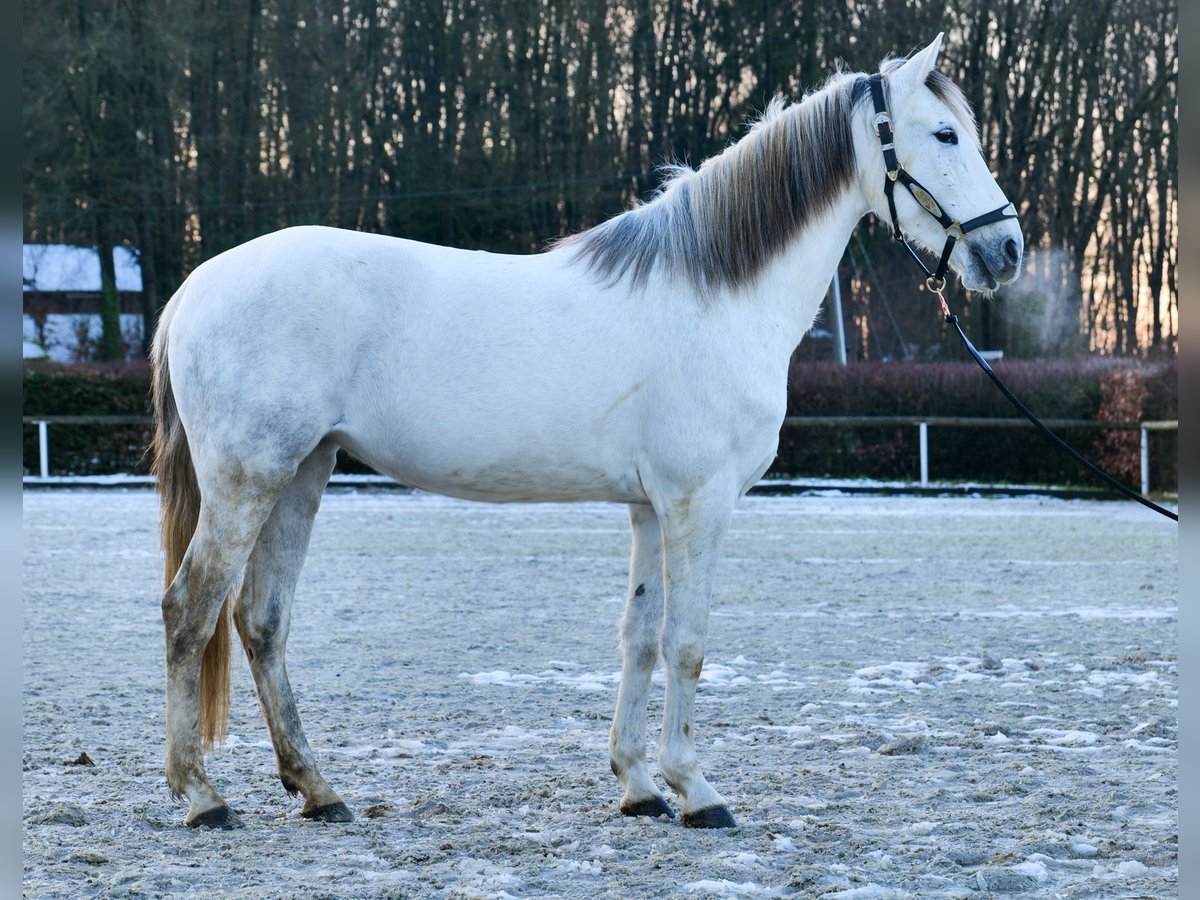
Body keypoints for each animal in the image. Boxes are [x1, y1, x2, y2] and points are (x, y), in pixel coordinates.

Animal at [154, 37, 1022, 830]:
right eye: (945, 134)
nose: (1005, 248)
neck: (716, 297)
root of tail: (196, 286)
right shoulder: (698, 504)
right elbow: (686, 641)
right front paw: (696, 790)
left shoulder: (650, 508)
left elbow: (637, 636)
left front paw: (637, 785)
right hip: (247, 480)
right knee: (190, 611)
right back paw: (202, 796)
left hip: (302, 473)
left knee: (261, 620)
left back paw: (317, 788)